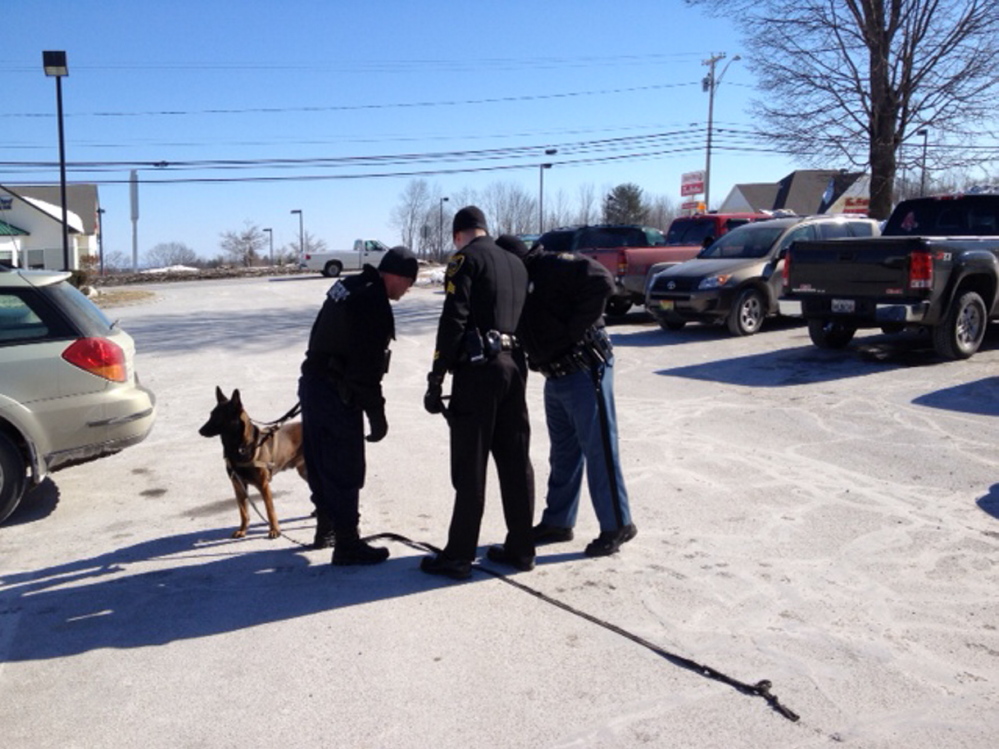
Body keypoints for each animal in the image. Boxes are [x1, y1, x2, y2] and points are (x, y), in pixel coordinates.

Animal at [199, 386, 308, 536]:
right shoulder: (238, 486)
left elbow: (270, 510)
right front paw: (242, 530)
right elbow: (243, 511)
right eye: (211, 414)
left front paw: (274, 530)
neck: (239, 448)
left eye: (219, 416)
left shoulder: (263, 485)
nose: (200, 431)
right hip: (305, 472)